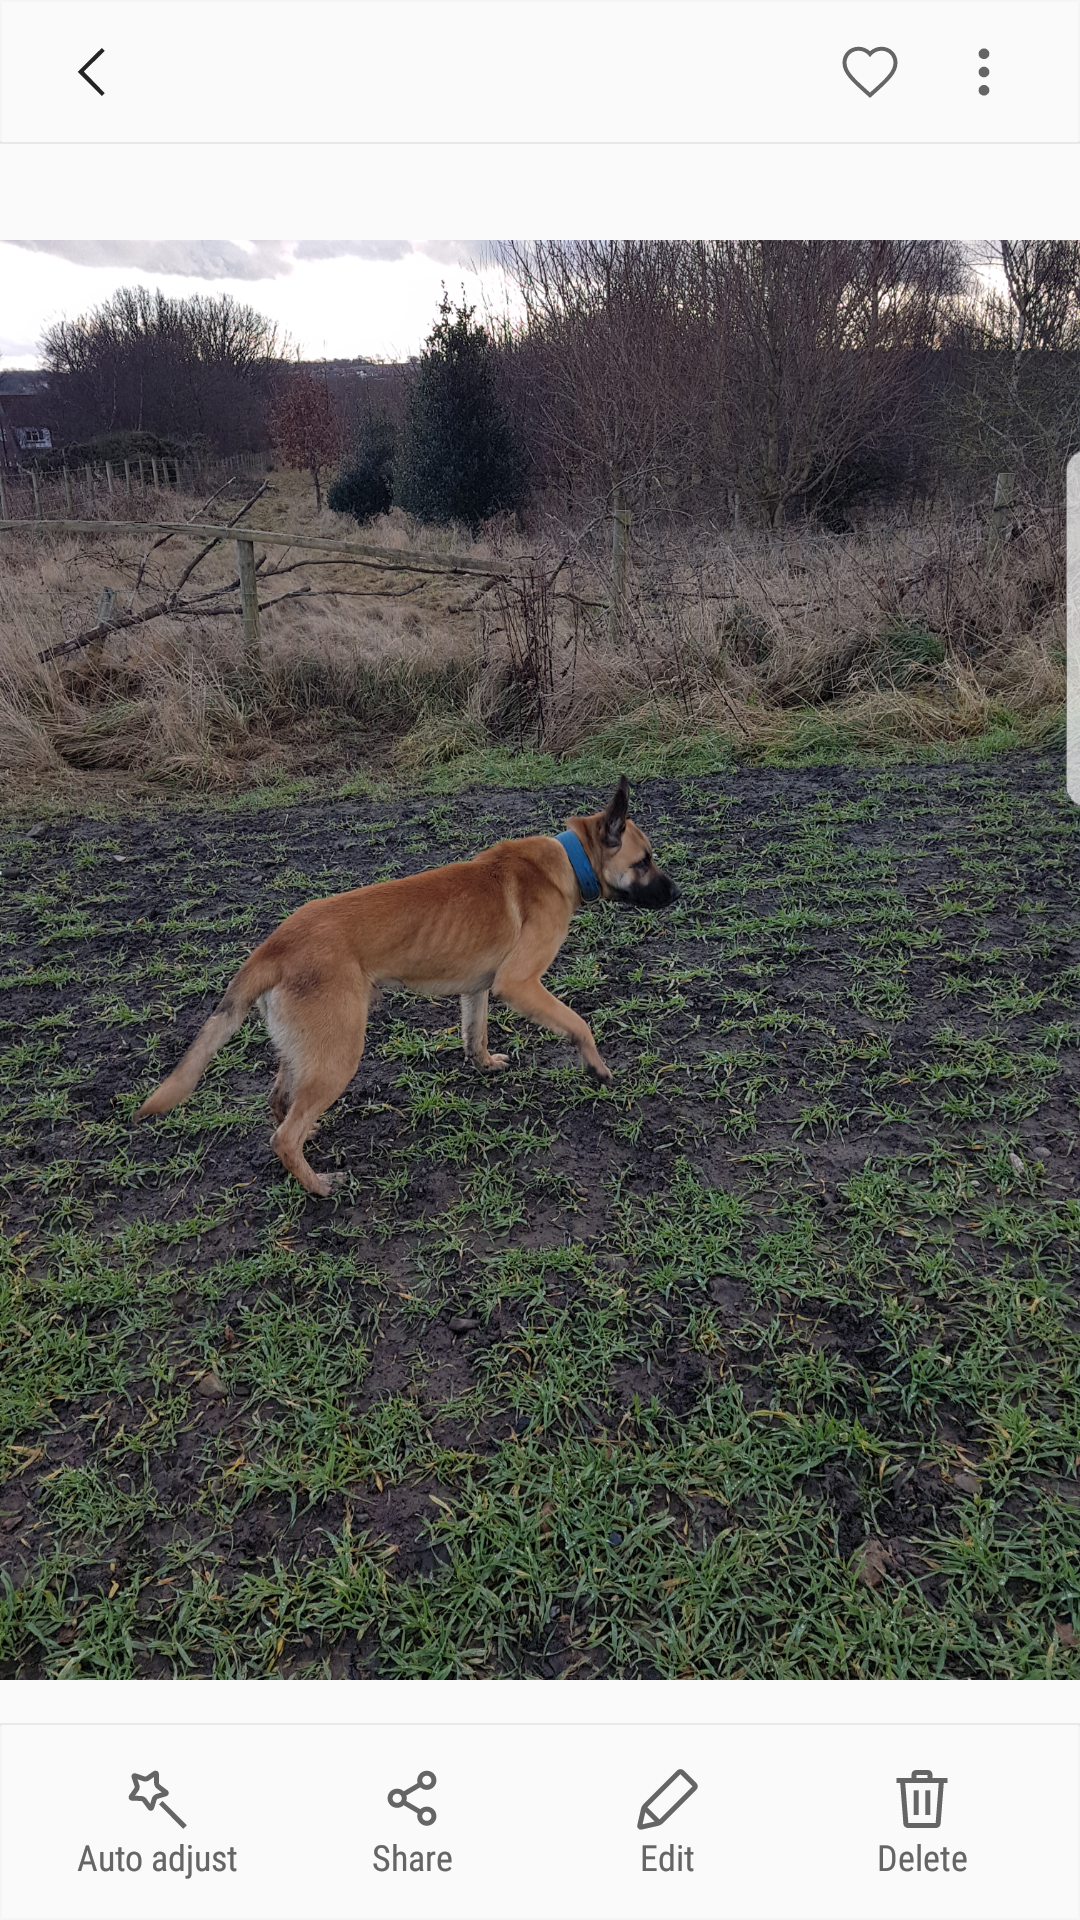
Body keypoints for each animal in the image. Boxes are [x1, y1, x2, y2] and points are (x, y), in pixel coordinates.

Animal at [134, 775, 672, 1190]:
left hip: (309, 1050)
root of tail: (274, 945)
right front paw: (597, 1068)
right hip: (340, 1054)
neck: (570, 861)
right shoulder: (519, 984)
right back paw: (318, 1184)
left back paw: (310, 1143)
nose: (677, 892)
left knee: (280, 1104)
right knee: (282, 1135)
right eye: (644, 861)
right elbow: (579, 1023)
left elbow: (474, 1034)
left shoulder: (477, 989)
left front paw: (485, 1064)